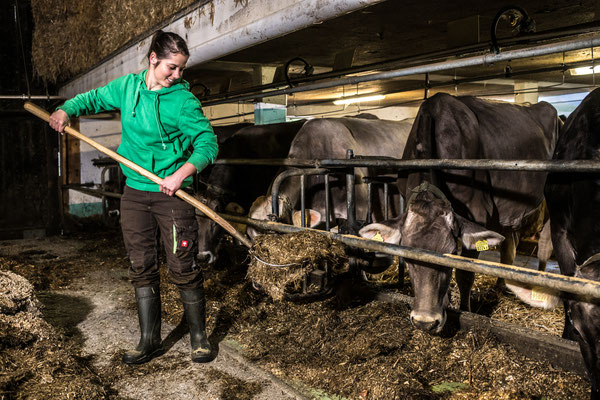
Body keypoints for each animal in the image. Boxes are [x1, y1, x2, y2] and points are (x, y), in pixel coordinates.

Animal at [356, 92, 556, 332]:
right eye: (407, 255)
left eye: (451, 252)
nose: (424, 322)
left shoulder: (478, 214)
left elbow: (464, 273)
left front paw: (465, 309)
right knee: (509, 245)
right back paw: (502, 284)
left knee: (545, 245)